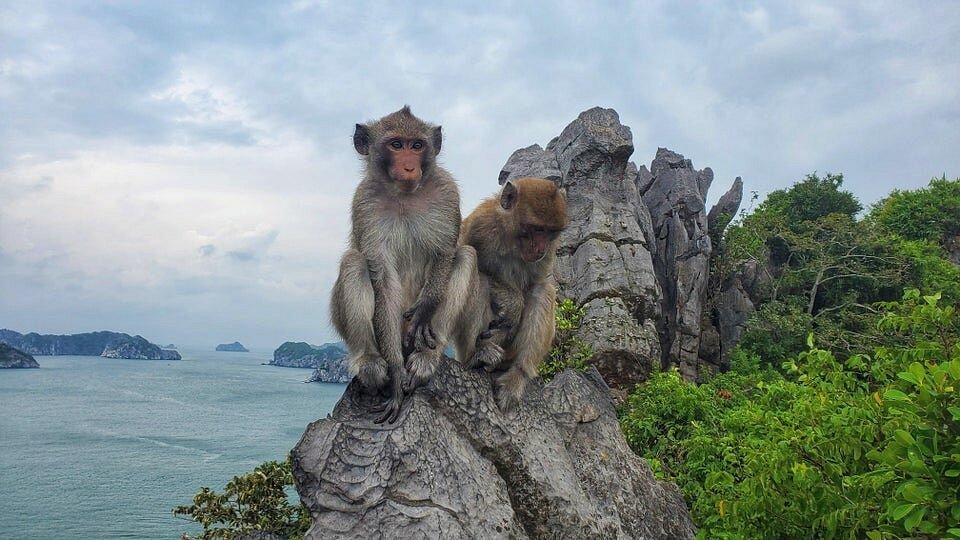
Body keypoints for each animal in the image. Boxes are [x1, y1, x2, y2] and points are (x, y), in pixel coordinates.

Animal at [330, 106, 475, 423]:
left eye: (417, 146)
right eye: (396, 145)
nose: (410, 167)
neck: (405, 195)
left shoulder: (447, 191)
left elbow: (446, 252)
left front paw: (425, 308)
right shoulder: (365, 203)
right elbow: (381, 276)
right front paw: (396, 373)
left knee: (466, 256)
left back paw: (426, 359)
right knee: (354, 262)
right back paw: (371, 362)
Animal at [452, 177, 568, 411]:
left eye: (550, 232)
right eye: (537, 229)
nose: (540, 248)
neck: (511, 239)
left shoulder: (549, 252)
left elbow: (538, 284)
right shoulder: (479, 225)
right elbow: (472, 262)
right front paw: (513, 304)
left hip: (511, 350)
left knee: (542, 291)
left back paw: (517, 374)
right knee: (480, 278)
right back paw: (475, 357)